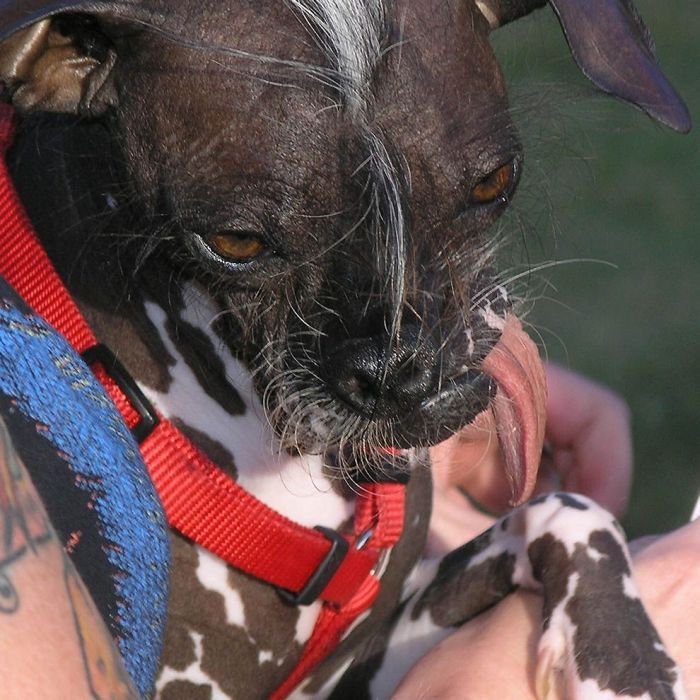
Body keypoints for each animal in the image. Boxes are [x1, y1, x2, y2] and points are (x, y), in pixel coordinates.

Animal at [0, 0, 692, 696]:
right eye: (234, 241)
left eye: (492, 181)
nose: (404, 369)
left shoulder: (362, 662)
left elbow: (567, 506)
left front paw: (624, 663)